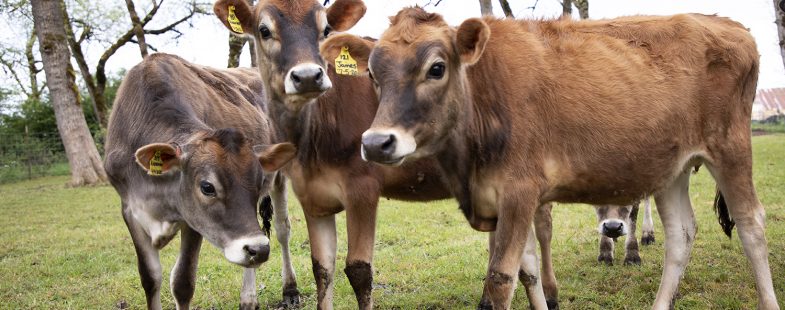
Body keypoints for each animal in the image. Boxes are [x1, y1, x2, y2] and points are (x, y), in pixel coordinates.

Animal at [105, 54, 296, 310]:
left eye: (258, 185)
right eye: (207, 187)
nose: (261, 249)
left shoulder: (193, 220)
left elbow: (182, 282)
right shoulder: (130, 209)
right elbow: (150, 277)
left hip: (279, 179)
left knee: (282, 230)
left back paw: (289, 289)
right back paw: (248, 299)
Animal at [211, 1, 450, 308]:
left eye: (326, 29)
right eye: (264, 30)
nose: (308, 76)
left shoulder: (363, 188)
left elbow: (359, 270)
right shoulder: (312, 197)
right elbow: (322, 268)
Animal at [324, 7, 776, 310]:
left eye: (436, 68)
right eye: (372, 74)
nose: (376, 143)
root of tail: (730, 25)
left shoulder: (520, 191)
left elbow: (501, 279)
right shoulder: (505, 199)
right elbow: (528, 271)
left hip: (731, 147)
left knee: (751, 225)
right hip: (672, 167)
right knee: (681, 235)